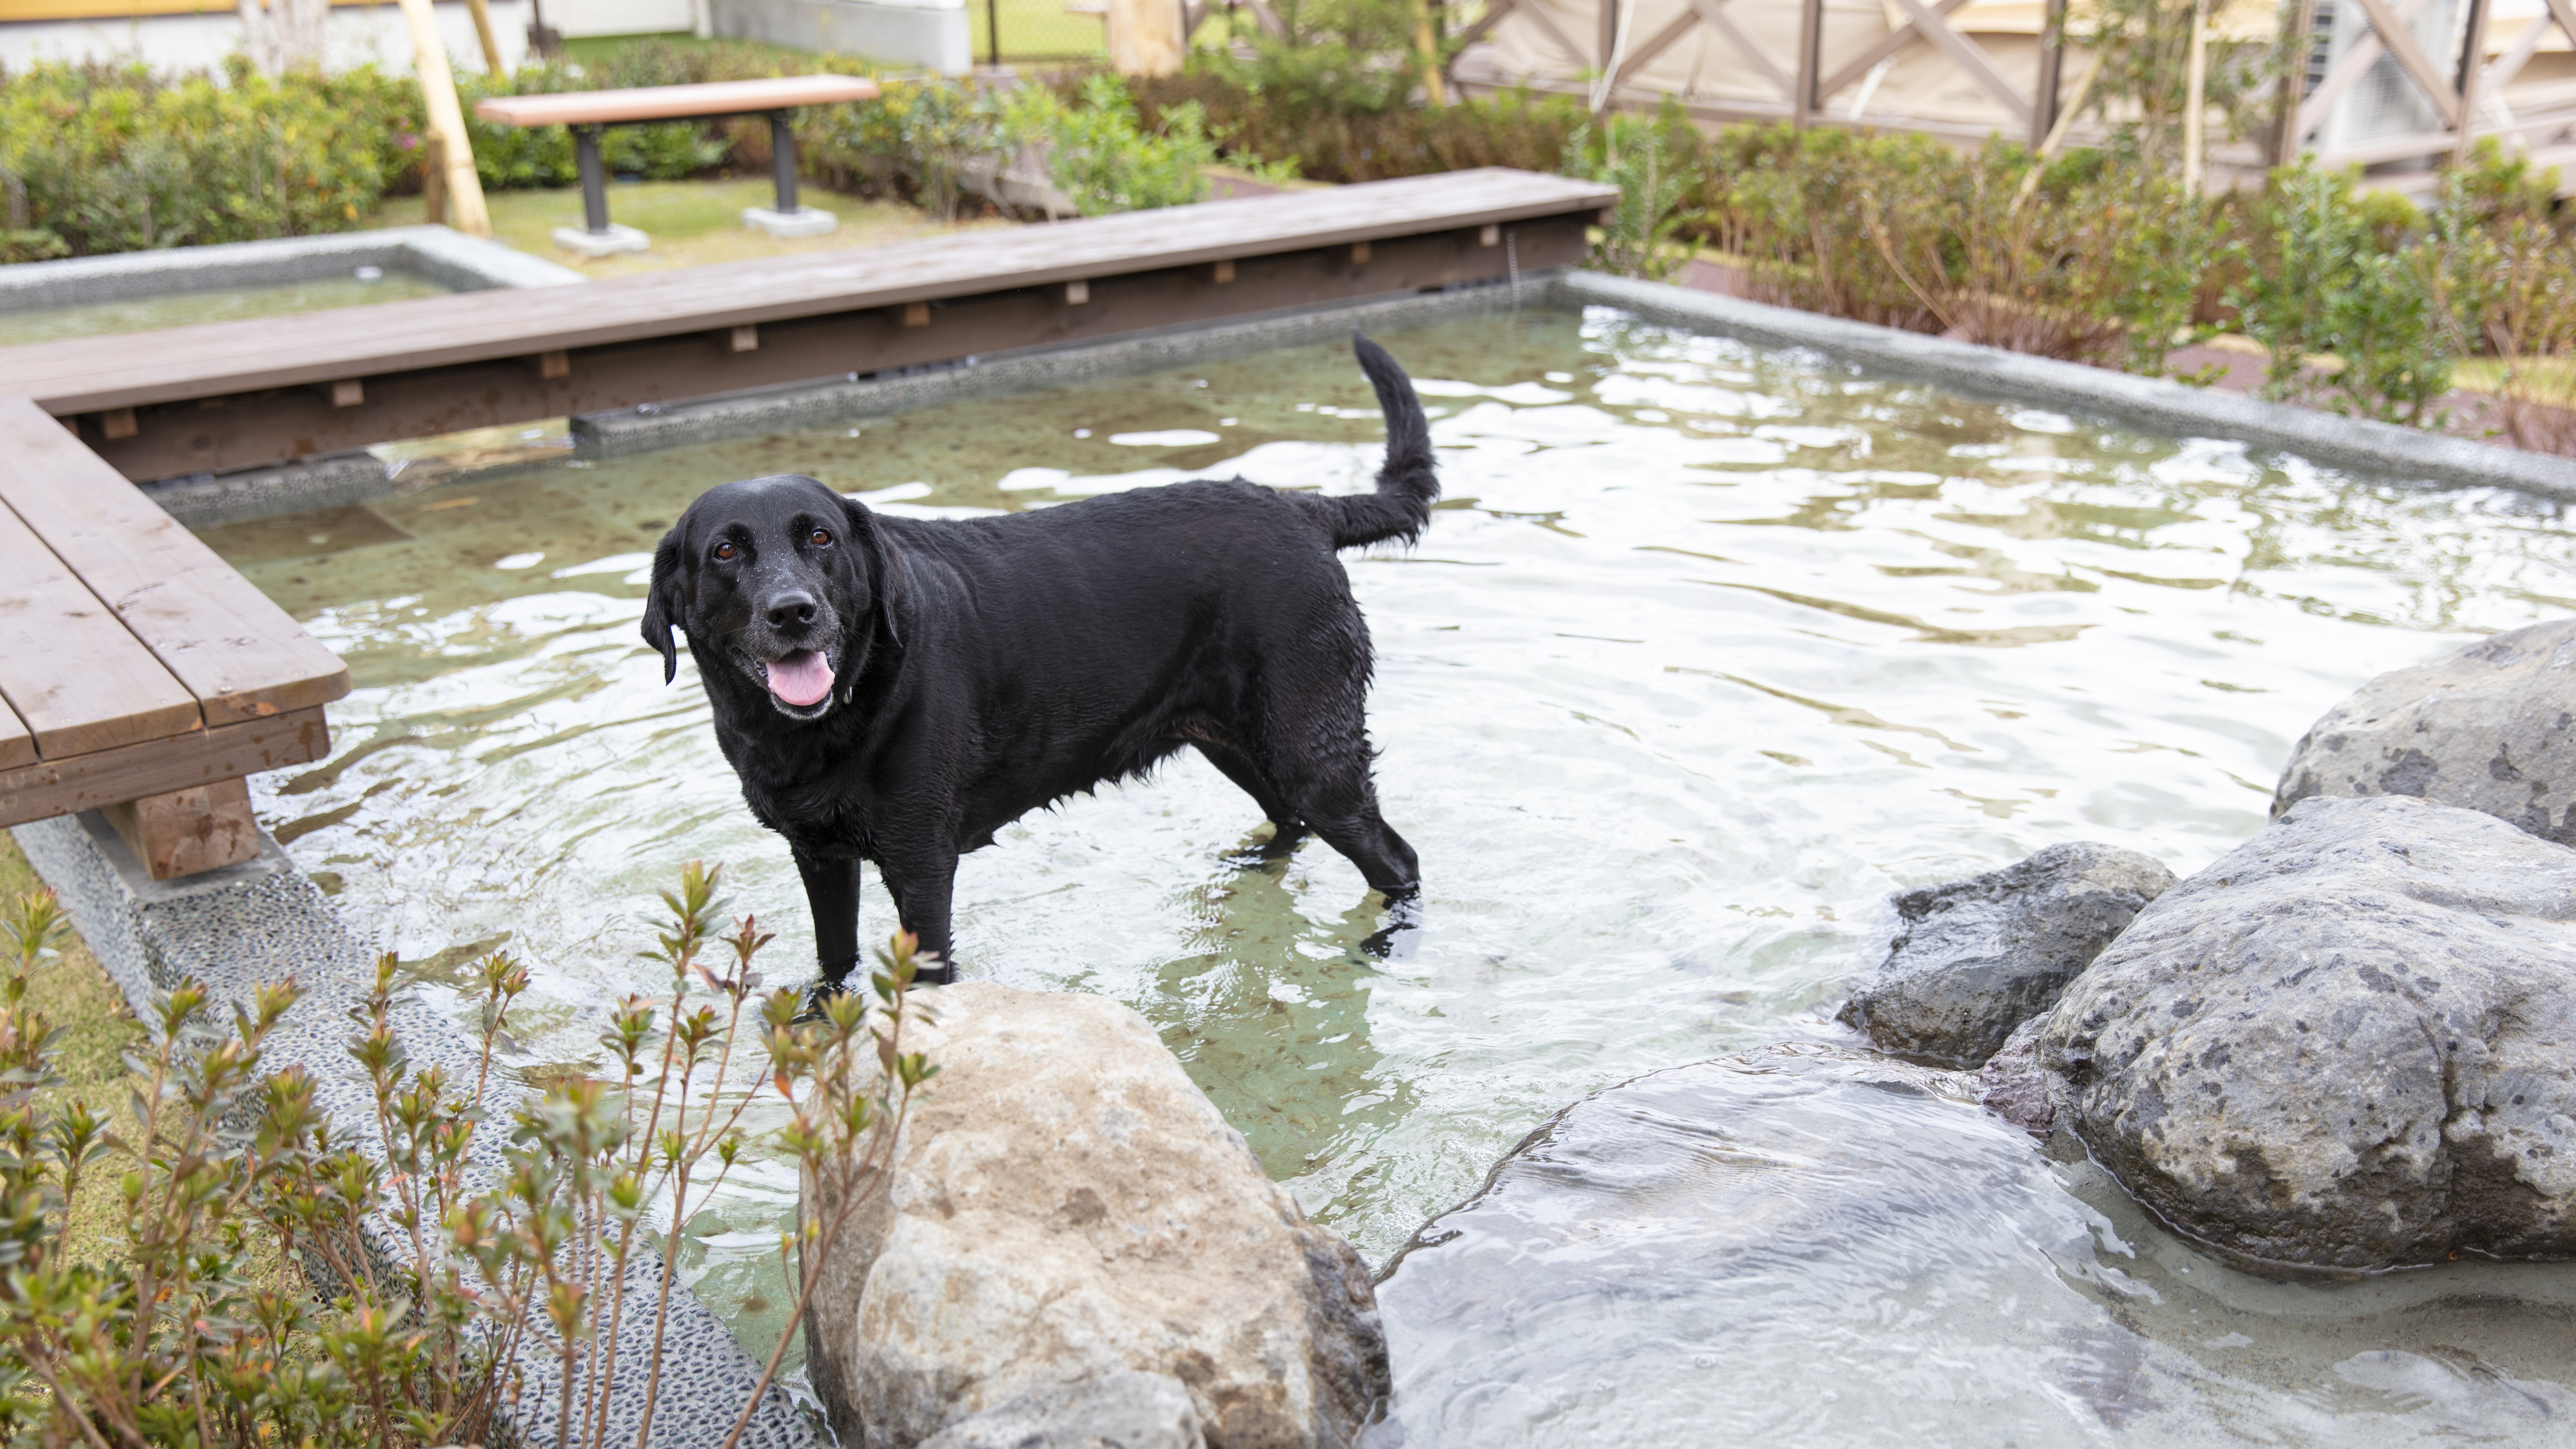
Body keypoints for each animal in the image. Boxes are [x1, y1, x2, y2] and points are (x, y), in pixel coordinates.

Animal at [636, 332, 1443, 980]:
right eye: (726, 550)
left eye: (821, 537)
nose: (793, 611)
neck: (830, 718)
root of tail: (1304, 506)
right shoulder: (819, 854)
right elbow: (835, 957)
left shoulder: (921, 862)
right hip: (1233, 736)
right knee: (1290, 819)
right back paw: (1253, 866)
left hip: (1311, 743)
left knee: (1396, 858)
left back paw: (1388, 943)